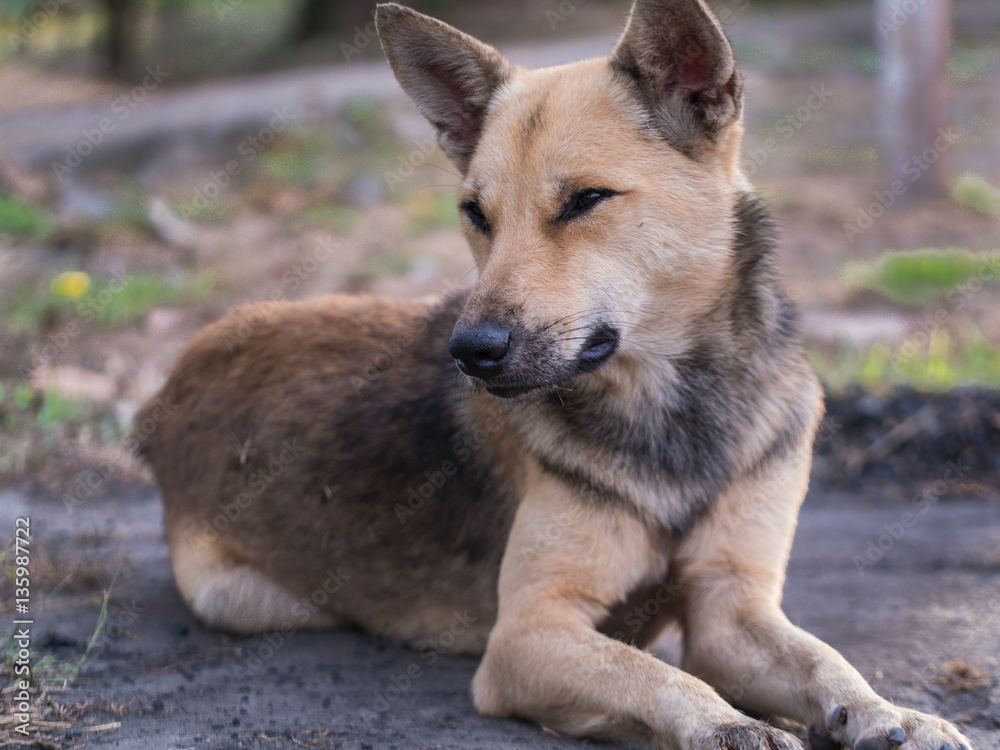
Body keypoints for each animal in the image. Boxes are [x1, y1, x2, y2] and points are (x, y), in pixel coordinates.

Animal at [137, 2, 972, 748]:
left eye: (586, 200)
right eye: (476, 213)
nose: (469, 349)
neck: (671, 407)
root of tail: (176, 377)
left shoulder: (733, 607)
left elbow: (827, 660)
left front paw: (888, 713)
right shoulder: (528, 634)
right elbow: (654, 674)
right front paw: (727, 724)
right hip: (238, 597)